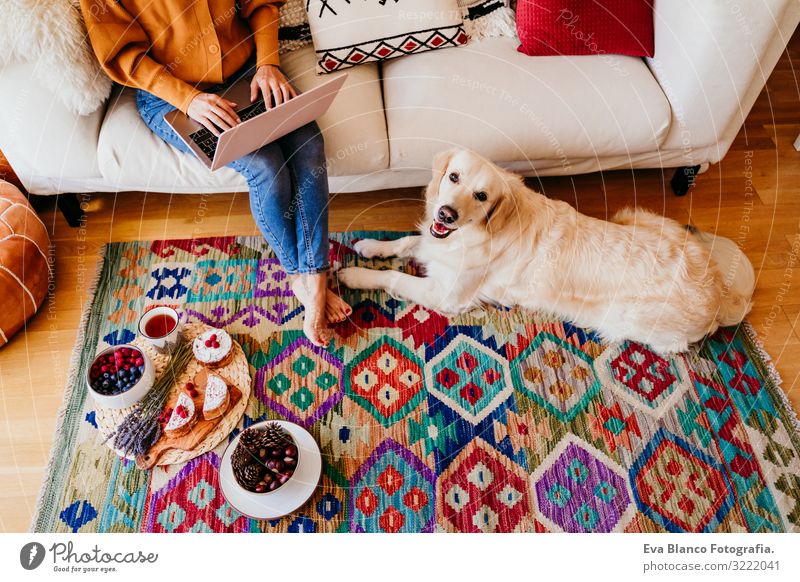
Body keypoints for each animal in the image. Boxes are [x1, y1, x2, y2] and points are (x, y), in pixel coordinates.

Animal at [340, 148, 756, 354]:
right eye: (453, 177)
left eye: (482, 196)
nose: (446, 213)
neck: (476, 232)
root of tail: (719, 294)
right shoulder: (435, 242)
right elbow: (409, 241)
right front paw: (370, 245)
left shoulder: (447, 294)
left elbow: (394, 276)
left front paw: (353, 274)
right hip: (638, 216)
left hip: (628, 318)